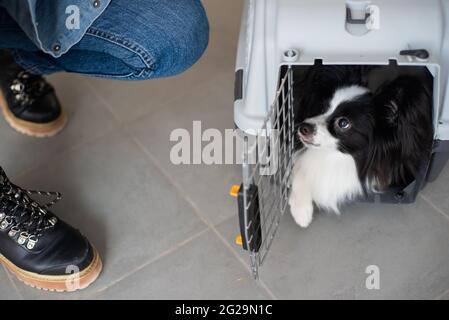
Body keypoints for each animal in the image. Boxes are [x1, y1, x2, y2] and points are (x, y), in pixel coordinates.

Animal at [288, 65, 432, 228]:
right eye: (322, 108)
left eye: (343, 123)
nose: (303, 128)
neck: (339, 156)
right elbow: (301, 166)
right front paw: (300, 209)